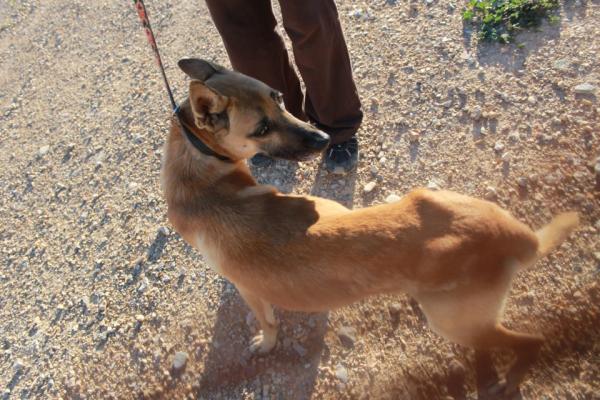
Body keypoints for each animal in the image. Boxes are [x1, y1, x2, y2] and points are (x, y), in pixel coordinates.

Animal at [162, 58, 580, 396]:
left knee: (532, 341)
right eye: (261, 128)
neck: (201, 174)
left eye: (278, 97)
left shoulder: (249, 289)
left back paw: (512, 379)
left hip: (454, 322)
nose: (325, 138)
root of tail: (516, 237)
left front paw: (265, 345)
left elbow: (268, 323)